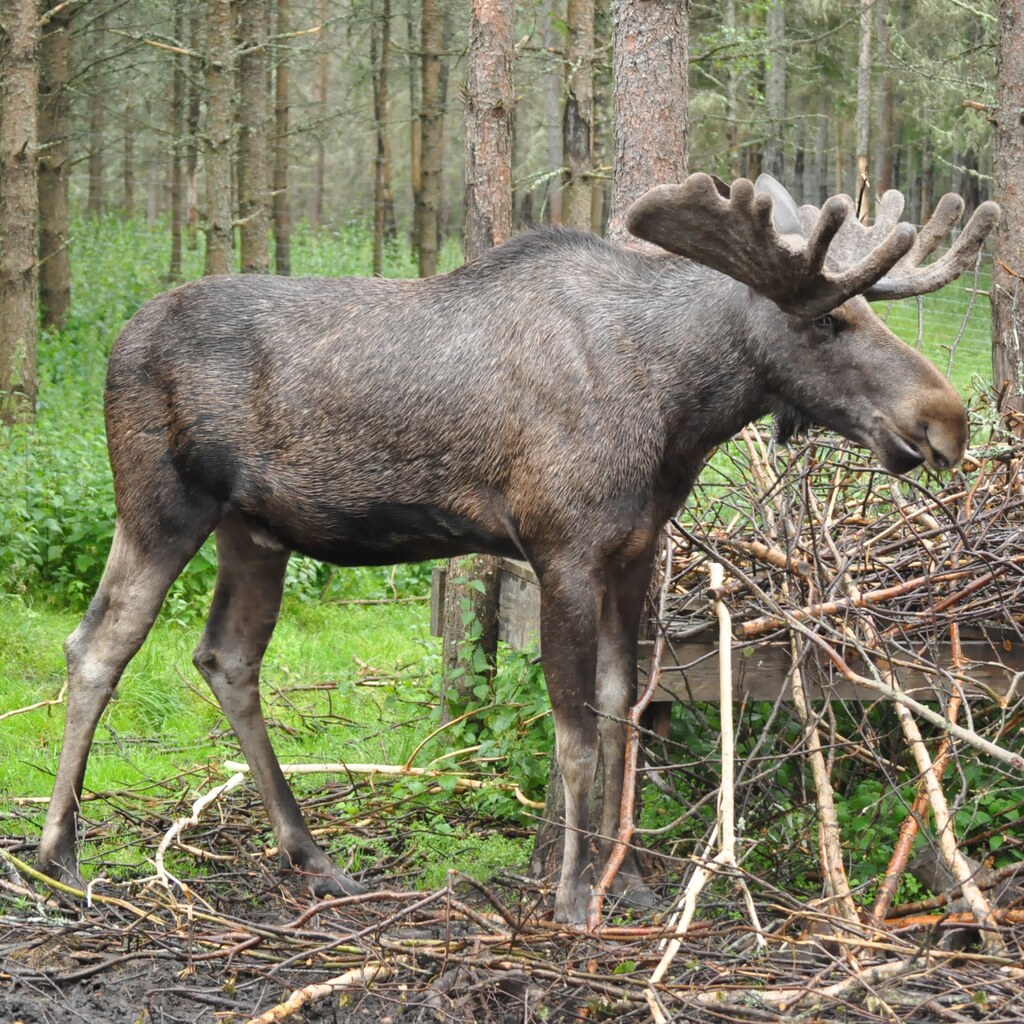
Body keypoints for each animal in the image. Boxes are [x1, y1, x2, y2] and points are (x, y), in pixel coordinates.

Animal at [36, 174, 998, 926]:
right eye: (830, 323)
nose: (946, 420)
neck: (679, 411)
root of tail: (117, 342)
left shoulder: (633, 549)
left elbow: (622, 709)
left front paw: (632, 881)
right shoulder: (561, 545)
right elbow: (573, 732)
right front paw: (572, 896)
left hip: (254, 531)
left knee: (226, 657)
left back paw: (311, 855)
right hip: (161, 505)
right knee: (97, 646)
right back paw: (59, 855)